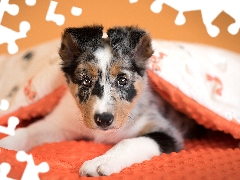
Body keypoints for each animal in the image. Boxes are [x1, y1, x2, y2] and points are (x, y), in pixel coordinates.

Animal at [0, 25, 202, 176]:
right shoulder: (58, 124)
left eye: (122, 80)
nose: (104, 119)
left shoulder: (166, 132)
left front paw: (101, 162)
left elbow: (130, 142)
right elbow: (29, 131)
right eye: (85, 80)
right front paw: (6, 144)